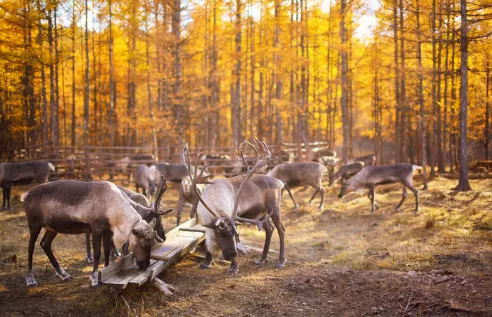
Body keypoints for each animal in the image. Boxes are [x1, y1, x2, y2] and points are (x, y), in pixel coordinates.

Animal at [21, 178, 169, 286]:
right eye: (144, 244)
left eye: (152, 243)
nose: (145, 265)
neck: (114, 209)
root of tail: (26, 195)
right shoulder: (96, 229)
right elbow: (98, 253)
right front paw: (94, 278)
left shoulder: (108, 231)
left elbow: (107, 251)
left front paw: (106, 270)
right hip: (34, 224)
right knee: (30, 247)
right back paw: (31, 279)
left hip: (52, 227)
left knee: (45, 244)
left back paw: (63, 274)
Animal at [184, 139, 286, 272]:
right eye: (219, 233)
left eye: (235, 233)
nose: (232, 254)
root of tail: (279, 182)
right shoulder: (206, 223)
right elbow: (207, 242)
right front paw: (207, 262)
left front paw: (234, 267)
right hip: (262, 214)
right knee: (270, 229)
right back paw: (262, 258)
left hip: (274, 208)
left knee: (281, 229)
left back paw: (281, 261)